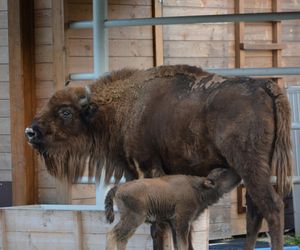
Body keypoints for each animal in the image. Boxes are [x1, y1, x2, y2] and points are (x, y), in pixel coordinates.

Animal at [104, 168, 240, 250]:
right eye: (222, 173)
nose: (237, 172)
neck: (197, 189)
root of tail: (119, 187)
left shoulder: (174, 224)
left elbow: (179, 245)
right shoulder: (182, 223)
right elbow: (183, 245)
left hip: (129, 221)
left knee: (121, 238)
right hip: (134, 220)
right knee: (114, 235)